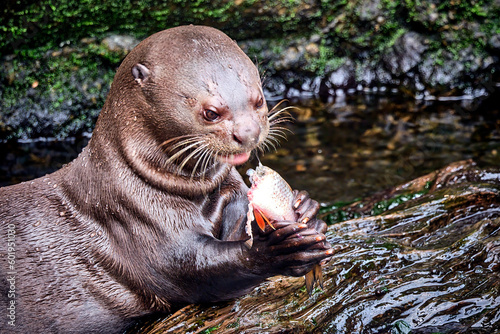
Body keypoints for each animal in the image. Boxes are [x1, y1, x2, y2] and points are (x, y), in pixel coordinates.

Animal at [0, 24, 332, 332]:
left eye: (259, 99)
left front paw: (307, 209)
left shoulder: (232, 193)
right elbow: (196, 271)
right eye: (211, 112)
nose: (248, 133)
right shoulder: (132, 218)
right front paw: (274, 251)